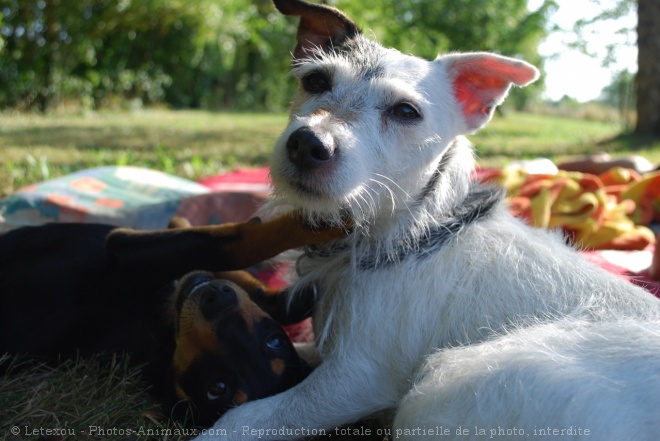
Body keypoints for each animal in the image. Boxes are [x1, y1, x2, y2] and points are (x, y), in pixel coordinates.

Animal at [0, 214, 348, 426]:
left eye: (217, 388)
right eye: (275, 340)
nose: (217, 300)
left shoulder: (130, 256)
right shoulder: (133, 254)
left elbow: (221, 251)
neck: (166, 335)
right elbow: (229, 251)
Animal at [193, 1, 660, 438]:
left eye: (405, 112)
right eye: (316, 81)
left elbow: (247, 417)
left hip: (446, 385)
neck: (408, 228)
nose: (308, 144)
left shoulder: (354, 378)